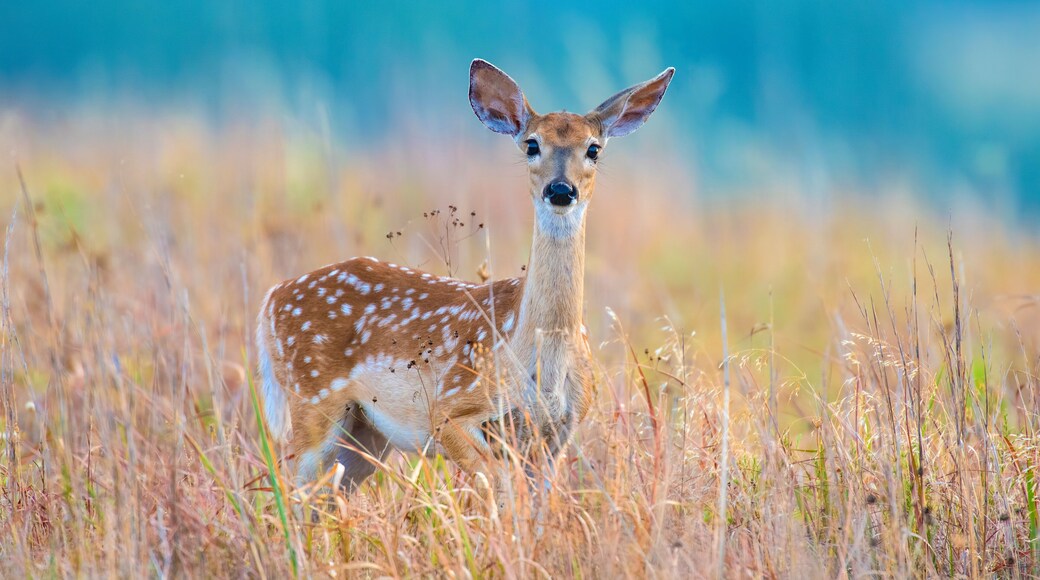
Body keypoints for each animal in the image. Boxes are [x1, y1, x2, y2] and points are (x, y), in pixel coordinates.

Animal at [256, 59, 674, 494]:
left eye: (593, 148)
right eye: (532, 144)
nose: (561, 190)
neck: (542, 362)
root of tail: (270, 300)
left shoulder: (557, 434)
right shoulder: (450, 406)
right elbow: (497, 485)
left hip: (365, 433)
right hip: (312, 398)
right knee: (294, 489)